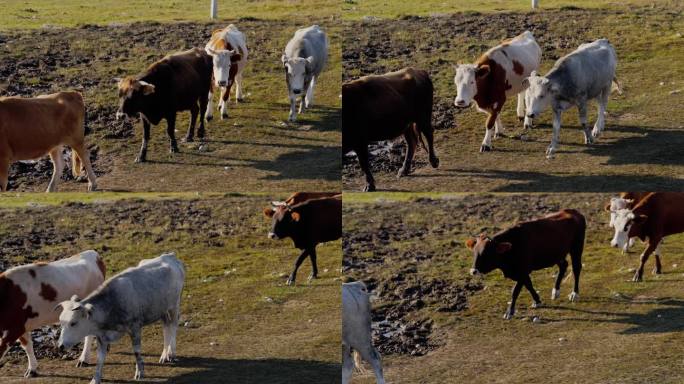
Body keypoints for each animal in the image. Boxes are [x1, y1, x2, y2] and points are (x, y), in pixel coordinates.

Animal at [0, 249, 105, 378]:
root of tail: (93, 253)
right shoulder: (19, 326)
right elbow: (27, 346)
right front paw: (32, 369)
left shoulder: (13, 329)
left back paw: (83, 359)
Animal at [56, 252, 186, 384]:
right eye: (61, 323)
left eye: (73, 323)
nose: (60, 346)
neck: (112, 303)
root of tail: (169, 255)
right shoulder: (102, 337)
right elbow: (100, 360)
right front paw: (95, 379)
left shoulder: (135, 328)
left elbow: (136, 352)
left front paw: (140, 372)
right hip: (162, 309)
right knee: (166, 327)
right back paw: (165, 354)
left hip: (174, 305)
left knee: (173, 326)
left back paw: (170, 354)